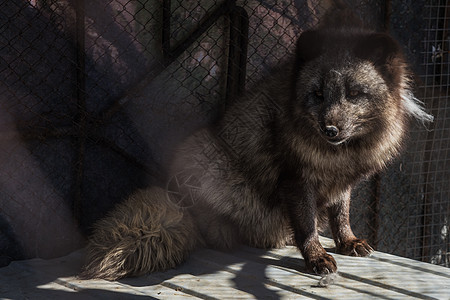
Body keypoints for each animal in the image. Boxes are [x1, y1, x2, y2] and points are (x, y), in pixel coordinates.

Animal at [80, 4, 432, 282]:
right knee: (211, 226)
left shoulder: (341, 182)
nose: (329, 129)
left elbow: (340, 214)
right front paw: (315, 256)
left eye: (356, 92)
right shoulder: (295, 178)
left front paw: (348, 241)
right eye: (318, 94)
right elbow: (307, 224)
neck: (340, 155)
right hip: (203, 153)